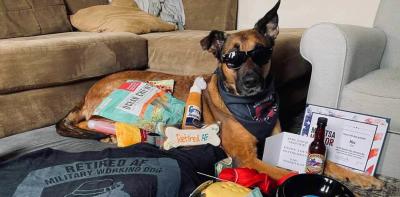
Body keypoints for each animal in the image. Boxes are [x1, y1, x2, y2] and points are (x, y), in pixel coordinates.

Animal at [57, 0, 382, 191]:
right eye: (231, 59)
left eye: (262, 54)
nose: (252, 82)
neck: (251, 107)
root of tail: (88, 92)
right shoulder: (247, 158)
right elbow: (285, 171)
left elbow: (326, 162)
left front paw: (362, 176)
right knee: (89, 122)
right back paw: (109, 134)